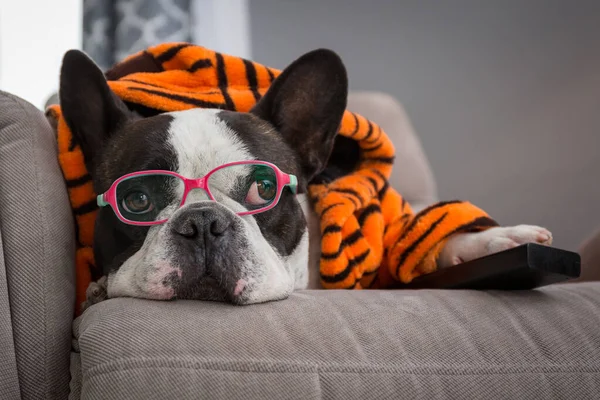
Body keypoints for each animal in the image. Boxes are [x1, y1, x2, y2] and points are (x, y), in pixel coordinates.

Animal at [58, 48, 552, 308]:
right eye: (136, 200)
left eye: (263, 188)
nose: (202, 222)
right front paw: (97, 289)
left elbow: (416, 238)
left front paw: (497, 240)